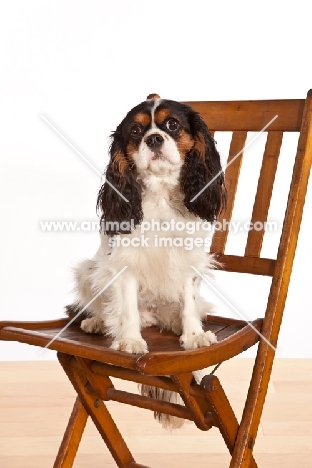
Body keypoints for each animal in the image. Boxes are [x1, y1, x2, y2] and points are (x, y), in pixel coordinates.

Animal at [66, 93, 227, 430]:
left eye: (172, 125)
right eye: (137, 131)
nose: (154, 138)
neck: (161, 191)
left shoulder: (189, 258)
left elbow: (190, 302)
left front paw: (193, 335)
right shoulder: (124, 262)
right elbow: (126, 307)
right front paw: (129, 340)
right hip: (89, 270)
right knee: (102, 306)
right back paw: (97, 321)